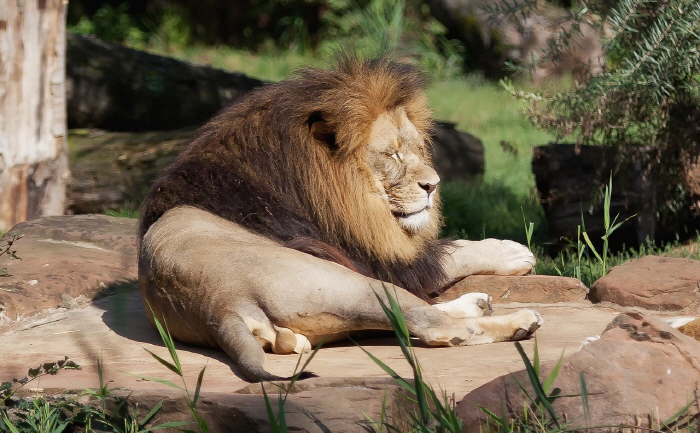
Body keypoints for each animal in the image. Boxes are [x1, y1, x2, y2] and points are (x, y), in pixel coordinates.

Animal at [137, 54, 540, 382]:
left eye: (416, 149)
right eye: (393, 154)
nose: (434, 185)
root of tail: (220, 307)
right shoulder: (366, 254)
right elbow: (447, 255)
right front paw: (512, 252)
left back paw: (477, 304)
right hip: (350, 282)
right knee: (434, 324)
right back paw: (520, 322)